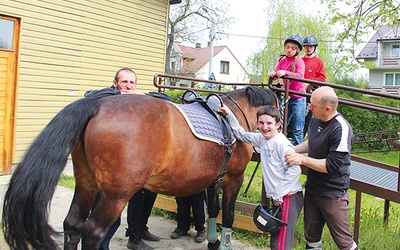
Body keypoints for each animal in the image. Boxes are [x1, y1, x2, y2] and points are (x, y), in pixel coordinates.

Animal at [2, 86, 278, 250]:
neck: (232, 117)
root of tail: (97, 105)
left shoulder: (215, 180)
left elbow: (213, 209)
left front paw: (212, 240)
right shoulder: (233, 178)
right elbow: (227, 214)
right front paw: (222, 244)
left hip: (86, 184)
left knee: (72, 224)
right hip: (115, 195)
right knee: (93, 231)